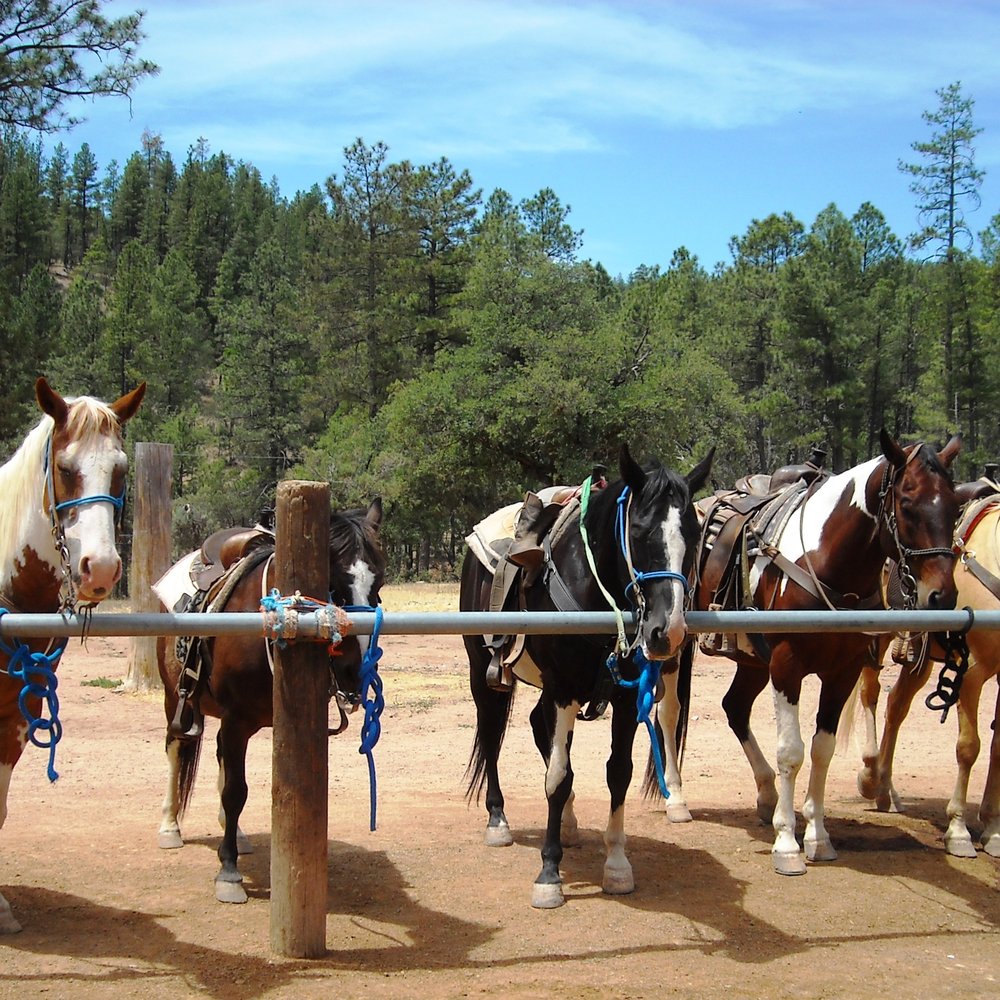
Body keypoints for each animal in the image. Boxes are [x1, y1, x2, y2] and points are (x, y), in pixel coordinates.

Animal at [155, 499, 385, 904]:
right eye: (334, 586)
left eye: (379, 585)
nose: (356, 670)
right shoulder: (235, 720)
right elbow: (235, 791)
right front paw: (228, 873)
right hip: (175, 699)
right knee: (176, 748)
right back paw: (170, 827)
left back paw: (236, 833)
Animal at [462, 444, 714, 908]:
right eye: (640, 531)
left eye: (691, 531)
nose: (666, 630)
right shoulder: (563, 690)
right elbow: (558, 778)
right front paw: (549, 874)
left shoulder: (625, 697)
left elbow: (618, 772)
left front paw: (616, 865)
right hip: (482, 674)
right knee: (491, 735)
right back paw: (498, 820)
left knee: (535, 727)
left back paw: (570, 823)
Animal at [692, 429, 961, 875]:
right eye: (907, 504)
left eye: (956, 507)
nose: (942, 596)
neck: (827, 562)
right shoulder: (787, 665)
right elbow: (791, 752)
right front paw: (787, 843)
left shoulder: (843, 671)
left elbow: (822, 750)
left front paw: (817, 836)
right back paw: (677, 801)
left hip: (752, 662)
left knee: (735, 707)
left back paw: (766, 795)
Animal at [855, 496, 1000, 858]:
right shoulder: (971, 672)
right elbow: (969, 747)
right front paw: (958, 830)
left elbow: (997, 748)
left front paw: (992, 828)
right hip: (875, 639)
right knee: (870, 694)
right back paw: (869, 775)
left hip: (918, 658)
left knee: (896, 706)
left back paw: (885, 789)